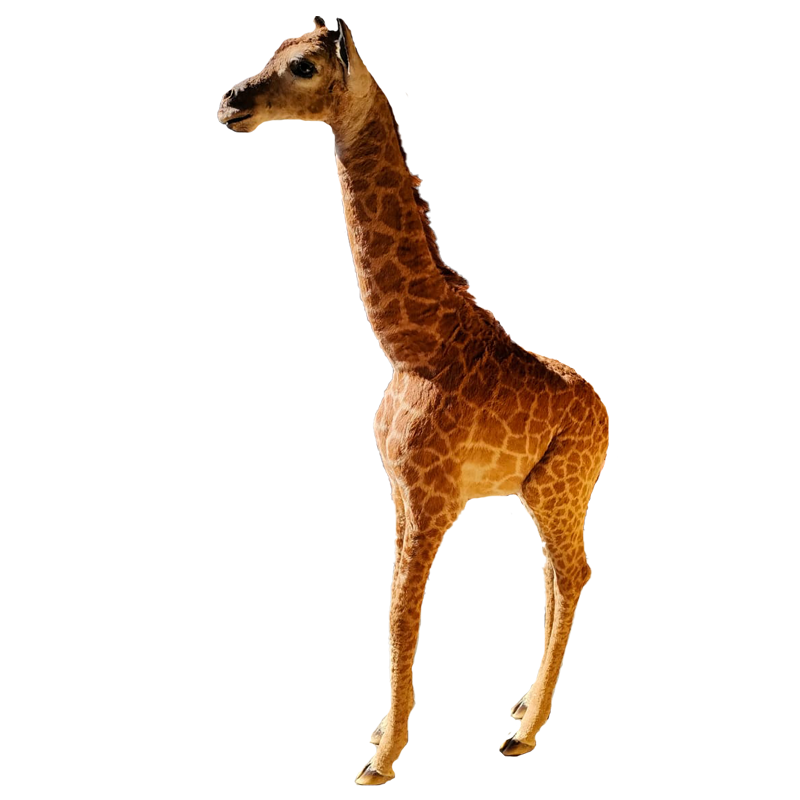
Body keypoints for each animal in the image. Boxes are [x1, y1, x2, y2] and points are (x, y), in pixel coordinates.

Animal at [218, 18, 608, 786]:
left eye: (304, 66)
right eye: (274, 54)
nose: (231, 102)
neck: (412, 343)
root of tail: (604, 411)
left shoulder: (432, 496)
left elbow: (402, 613)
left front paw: (381, 759)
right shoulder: (400, 488)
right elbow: (393, 609)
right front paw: (383, 739)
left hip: (556, 485)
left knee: (575, 572)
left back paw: (523, 734)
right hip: (545, 489)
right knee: (559, 576)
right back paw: (524, 713)